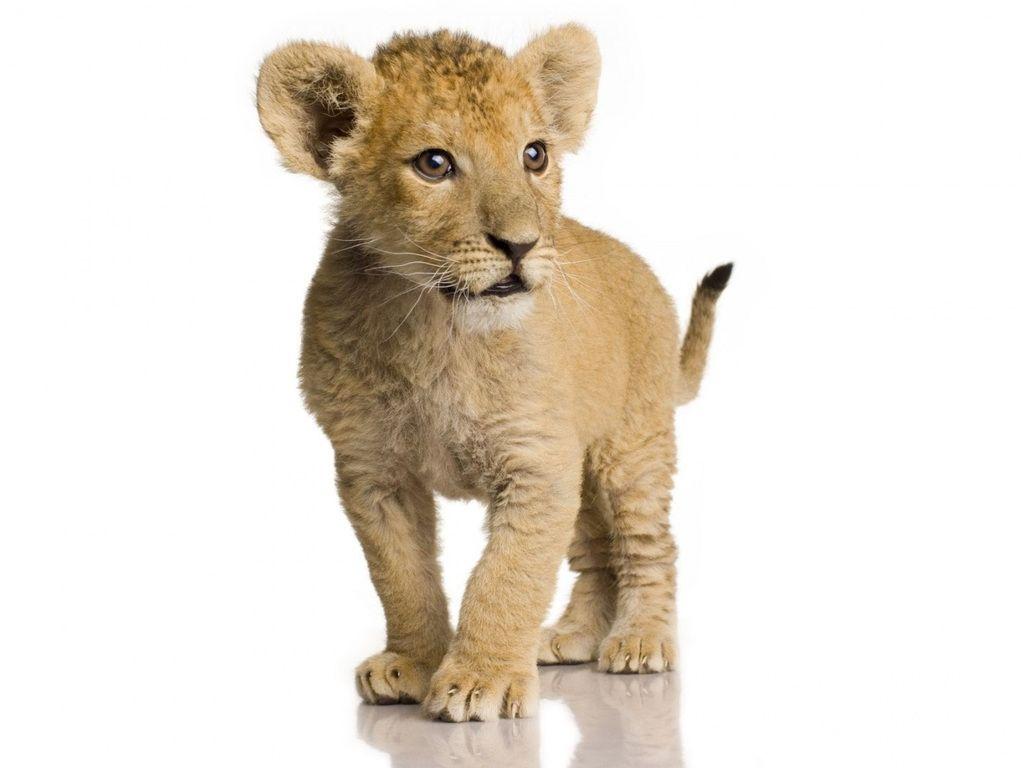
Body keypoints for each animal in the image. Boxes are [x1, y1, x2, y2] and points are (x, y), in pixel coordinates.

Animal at [256, 24, 731, 722]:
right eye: (434, 164)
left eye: (534, 154)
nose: (522, 245)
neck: (436, 326)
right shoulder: (372, 469)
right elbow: (402, 575)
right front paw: (413, 663)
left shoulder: (536, 461)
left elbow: (507, 575)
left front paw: (482, 679)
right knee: (596, 554)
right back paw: (571, 638)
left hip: (630, 445)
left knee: (647, 546)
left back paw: (641, 641)